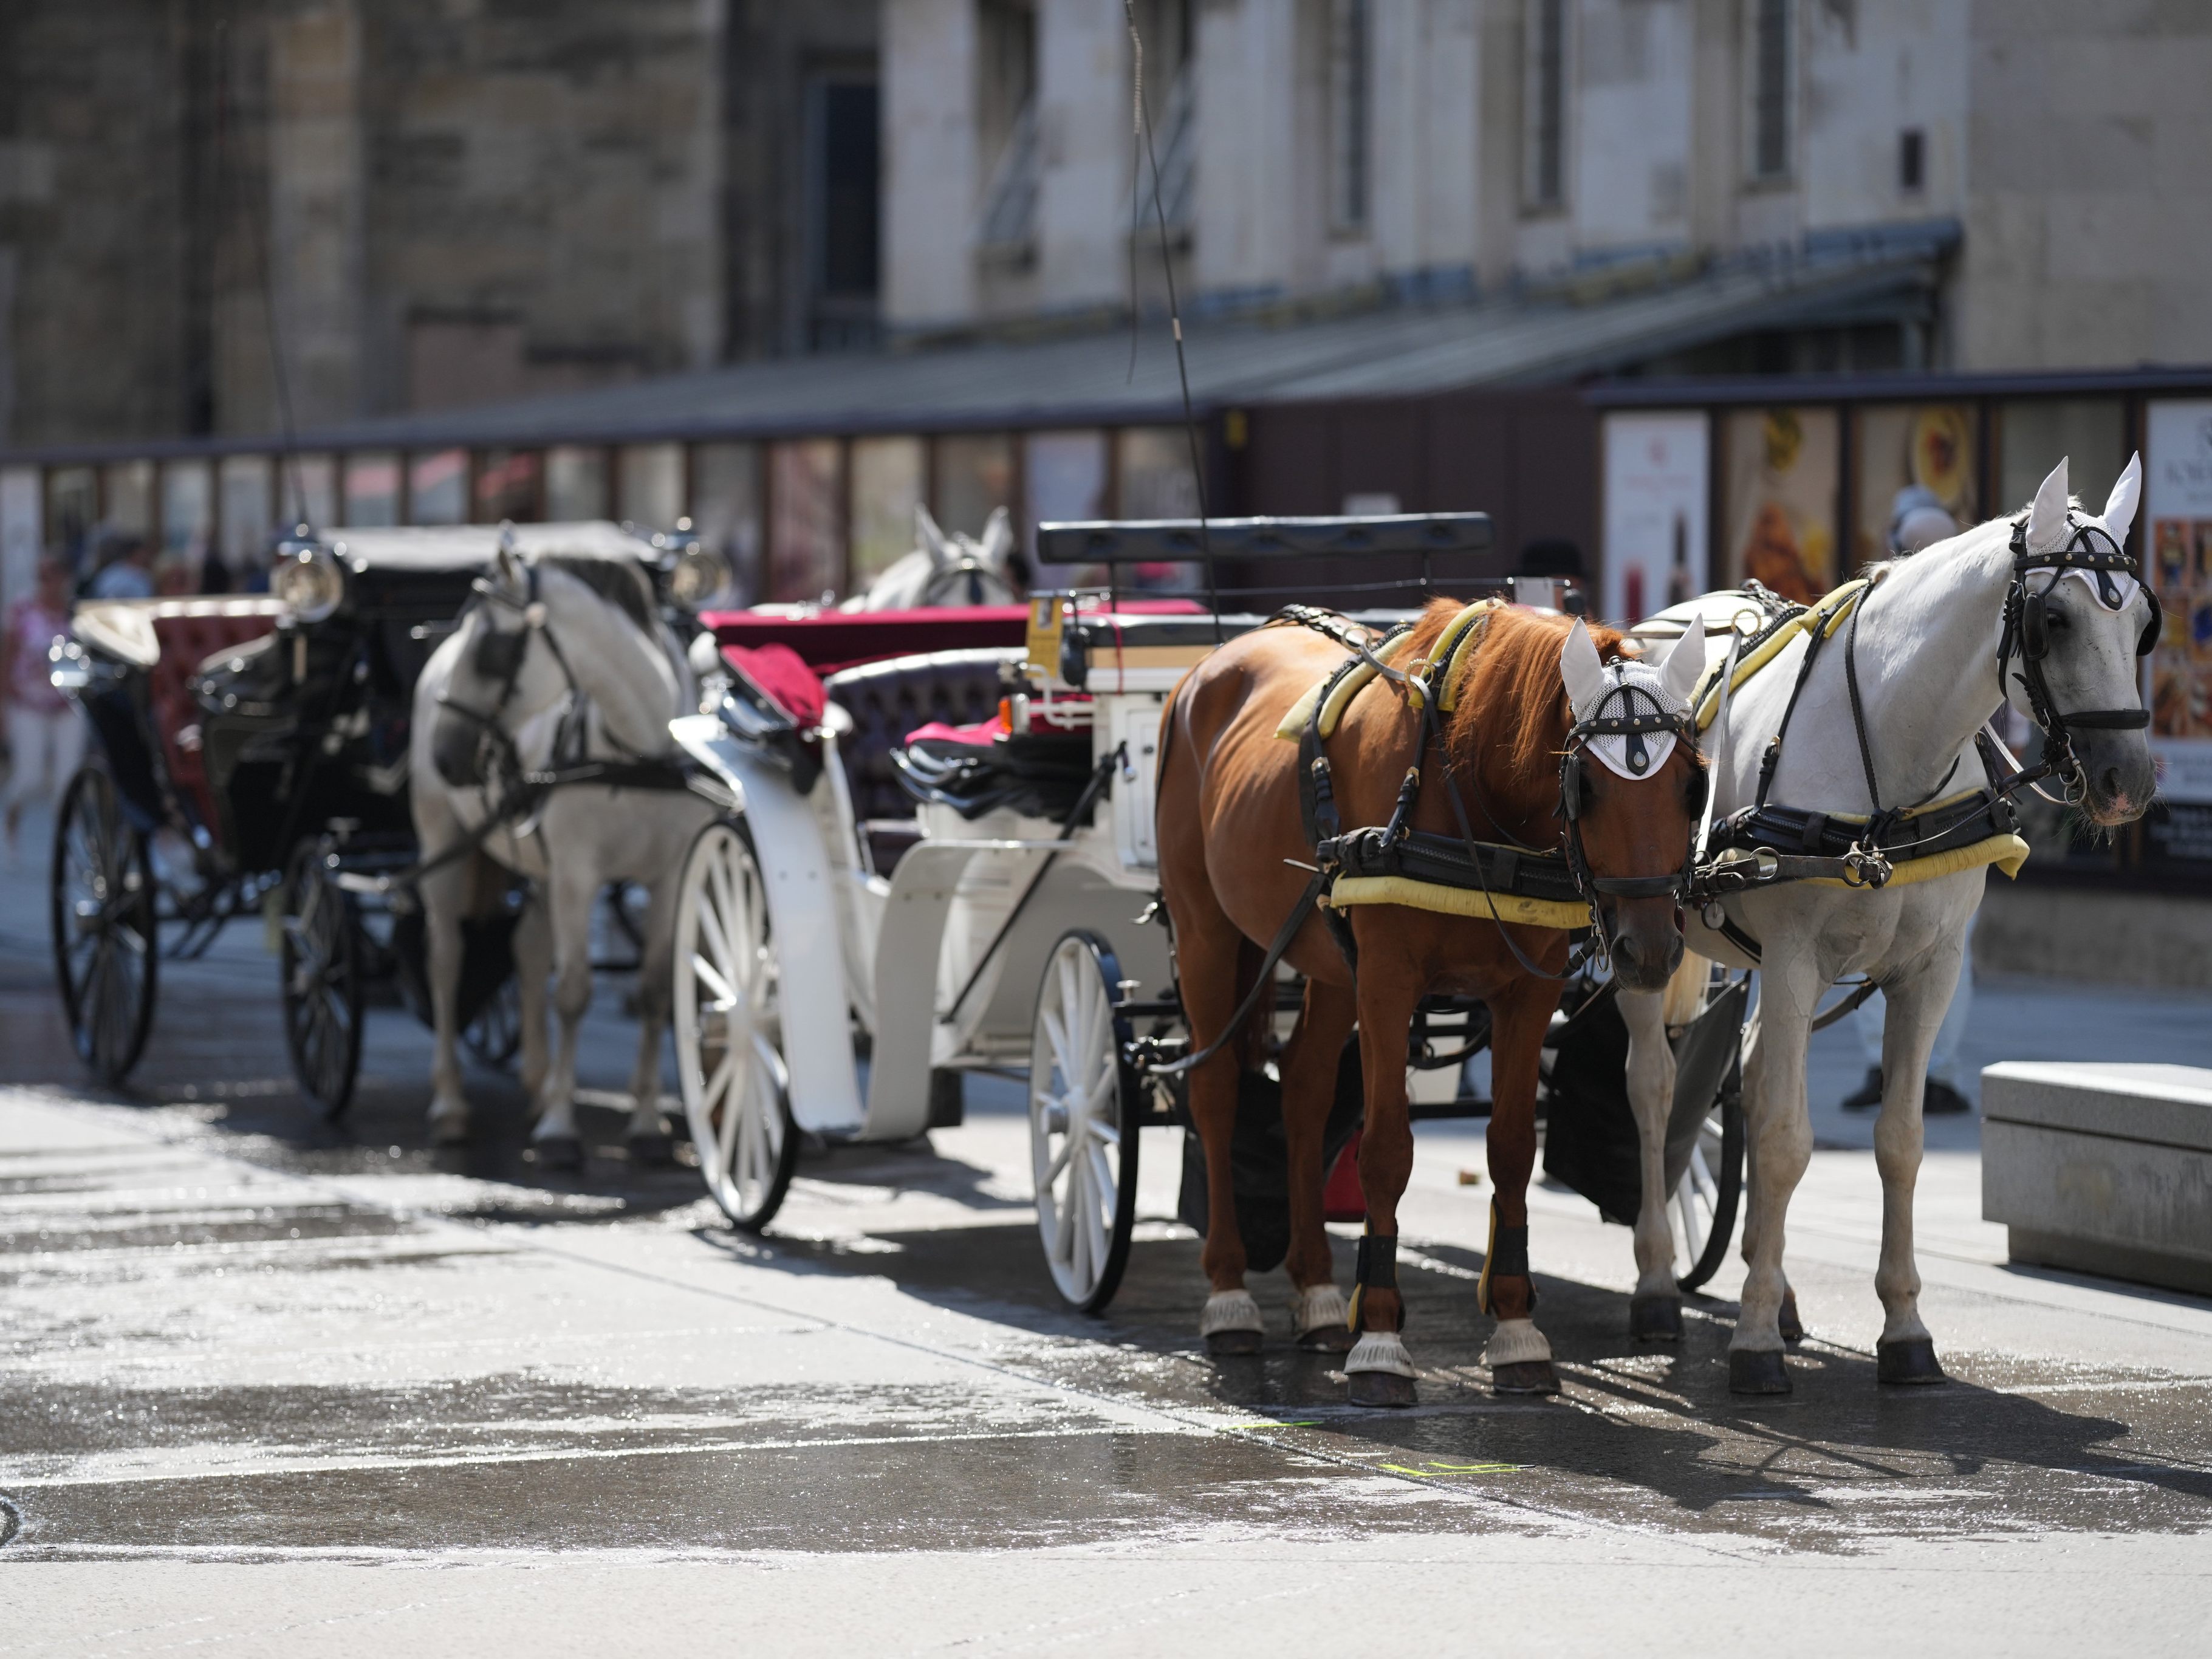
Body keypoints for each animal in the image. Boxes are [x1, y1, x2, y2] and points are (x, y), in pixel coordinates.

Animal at [411, 546, 712, 1168]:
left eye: (492, 649)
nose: (445, 755)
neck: (637, 754)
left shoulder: (671, 876)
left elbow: (653, 992)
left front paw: (645, 1123)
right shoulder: (579, 874)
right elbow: (573, 993)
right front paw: (558, 1129)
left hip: (542, 868)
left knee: (527, 950)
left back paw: (538, 1081)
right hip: (442, 843)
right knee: (447, 960)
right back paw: (450, 1103)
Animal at [1159, 606, 1707, 1406]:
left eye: (1692, 785)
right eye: (1585, 786)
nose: (1649, 949)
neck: (1469, 786)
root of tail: (1211, 663)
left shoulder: (1526, 993)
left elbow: (1510, 1149)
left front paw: (1514, 1329)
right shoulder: (1388, 981)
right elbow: (1387, 1149)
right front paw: (1381, 1340)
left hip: (1330, 963)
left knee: (1303, 1090)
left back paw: (1316, 1291)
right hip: (1207, 932)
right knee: (1215, 1088)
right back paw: (1228, 1294)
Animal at [1619, 456, 2150, 1389]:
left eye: (2143, 624)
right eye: (2053, 619)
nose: (2131, 778)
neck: (1893, 755)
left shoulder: (1928, 970)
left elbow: (1897, 1140)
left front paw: (1902, 1326)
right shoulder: (1795, 959)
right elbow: (1785, 1138)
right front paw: (1752, 1343)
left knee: (1745, 1076)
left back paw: (1774, 1284)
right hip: (1644, 942)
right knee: (1653, 1087)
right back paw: (1656, 1281)